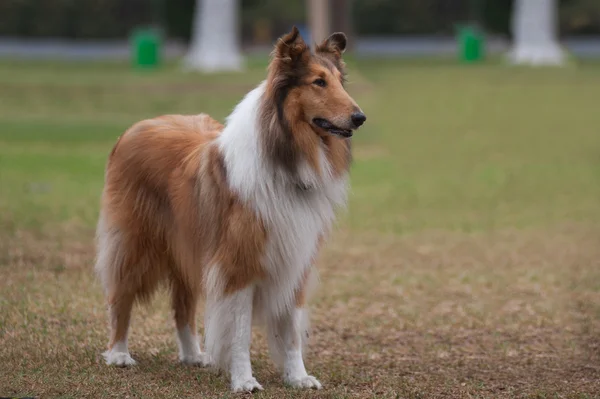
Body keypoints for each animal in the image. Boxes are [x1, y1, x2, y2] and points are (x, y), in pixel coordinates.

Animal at [94, 27, 366, 394]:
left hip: (187, 246)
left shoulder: (295, 260)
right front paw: (244, 380)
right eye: (318, 82)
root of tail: (139, 125)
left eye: (339, 81)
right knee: (120, 296)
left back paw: (193, 355)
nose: (360, 117)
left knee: (182, 306)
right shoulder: (238, 265)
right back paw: (119, 354)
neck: (285, 161)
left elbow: (291, 331)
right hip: (136, 243)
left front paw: (298, 377)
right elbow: (238, 333)